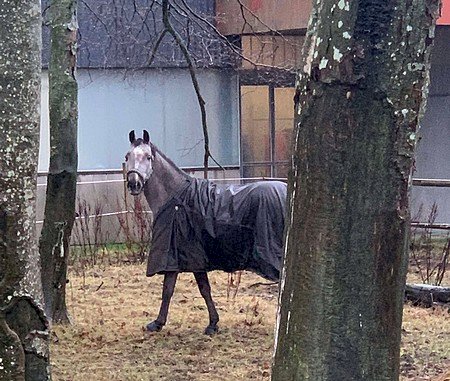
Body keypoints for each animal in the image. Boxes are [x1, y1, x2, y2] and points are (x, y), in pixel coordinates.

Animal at [124, 129, 284, 334]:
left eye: (148, 157)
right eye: (127, 156)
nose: (133, 184)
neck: (176, 199)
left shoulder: (183, 256)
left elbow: (176, 289)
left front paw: (159, 323)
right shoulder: (184, 258)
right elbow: (189, 288)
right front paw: (211, 323)